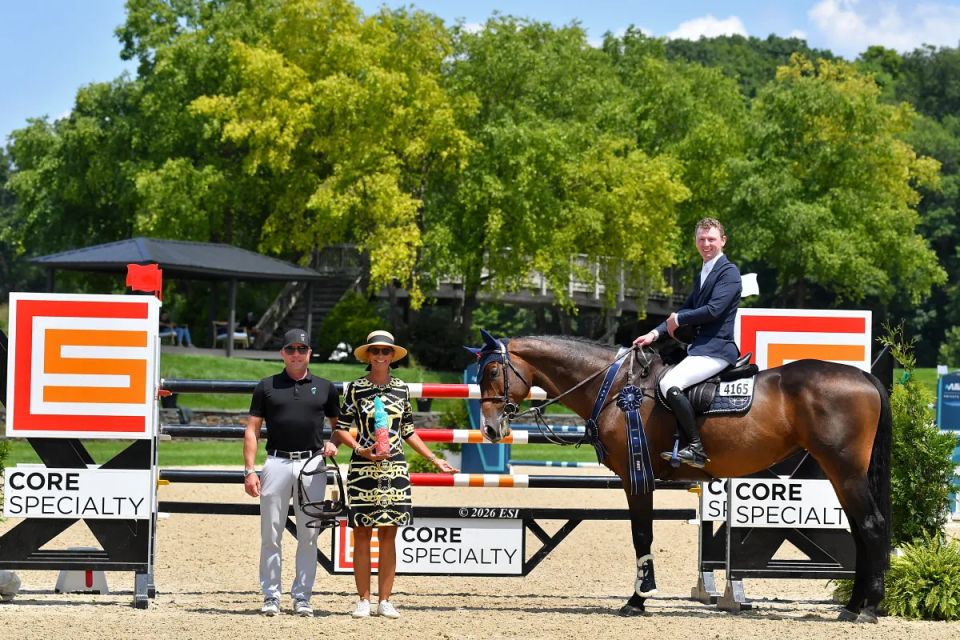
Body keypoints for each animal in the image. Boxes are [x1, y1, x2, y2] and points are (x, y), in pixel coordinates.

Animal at [471, 332, 891, 623]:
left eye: (492, 371)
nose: (490, 429)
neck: (617, 388)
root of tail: (863, 377)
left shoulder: (636, 477)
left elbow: (642, 534)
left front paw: (637, 600)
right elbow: (642, 535)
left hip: (844, 470)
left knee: (871, 526)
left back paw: (867, 608)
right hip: (840, 474)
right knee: (861, 531)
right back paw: (854, 605)